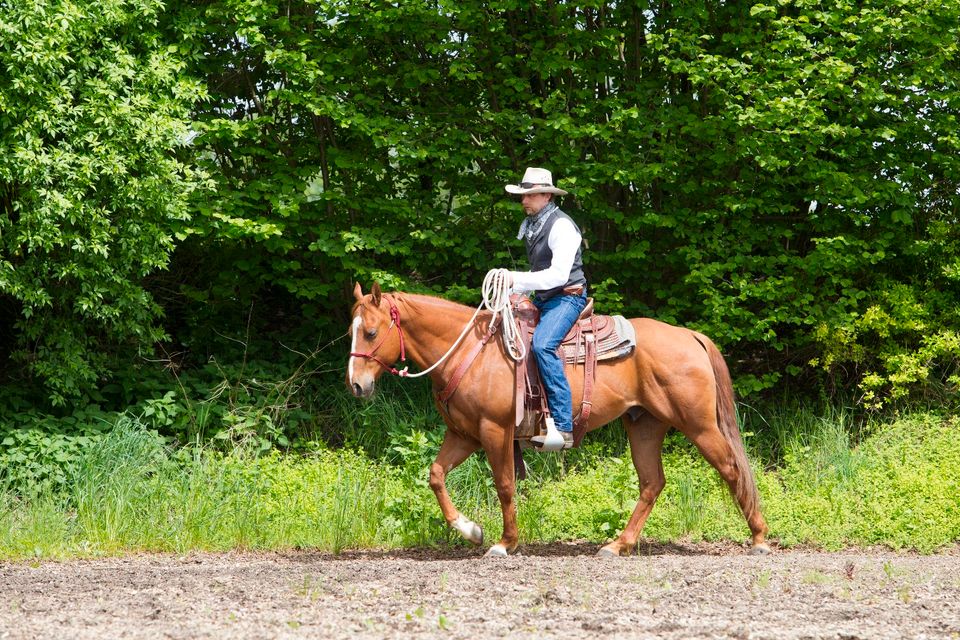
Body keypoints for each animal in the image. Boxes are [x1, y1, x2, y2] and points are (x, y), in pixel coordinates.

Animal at [348, 282, 768, 556]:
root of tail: (689, 335)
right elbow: (436, 476)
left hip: (699, 425)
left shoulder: (494, 431)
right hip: (644, 424)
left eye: (370, 331)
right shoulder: (463, 434)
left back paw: (759, 538)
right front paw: (471, 531)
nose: (356, 385)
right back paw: (618, 545)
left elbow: (504, 484)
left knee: (731, 468)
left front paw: (505, 543)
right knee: (652, 482)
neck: (471, 351)